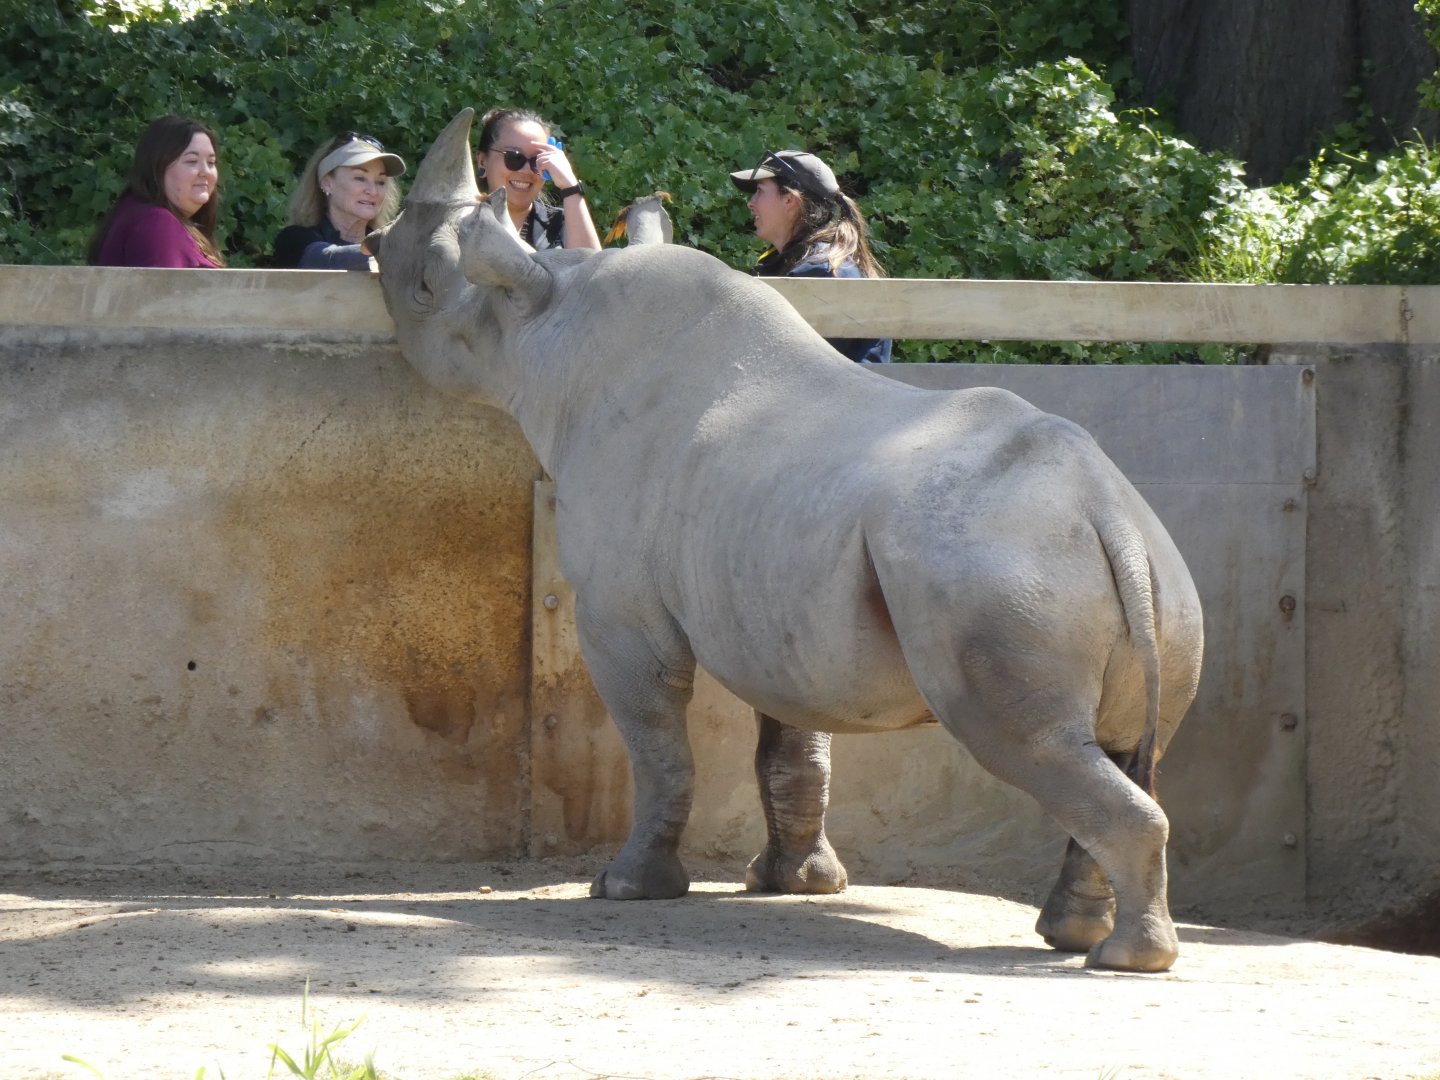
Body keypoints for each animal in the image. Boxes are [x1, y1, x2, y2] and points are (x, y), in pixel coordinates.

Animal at [368, 109, 1205, 973]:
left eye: (426, 285)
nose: (371, 240)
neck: (550, 326)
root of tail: (1109, 514)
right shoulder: (782, 604)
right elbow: (794, 747)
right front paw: (791, 884)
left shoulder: (622, 613)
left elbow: (659, 748)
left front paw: (629, 887)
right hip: (1150, 579)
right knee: (1118, 747)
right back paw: (1074, 936)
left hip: (999, 569)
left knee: (1030, 742)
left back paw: (1124, 959)